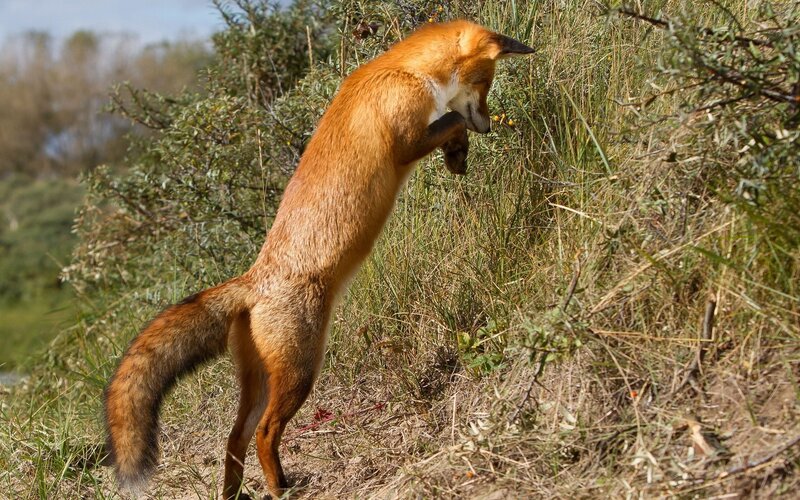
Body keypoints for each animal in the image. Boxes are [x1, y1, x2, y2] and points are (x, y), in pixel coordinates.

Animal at [104, 20, 534, 499]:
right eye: (486, 83)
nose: (490, 127)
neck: (403, 71)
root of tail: (253, 280)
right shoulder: (405, 142)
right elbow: (452, 119)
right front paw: (459, 146)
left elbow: (452, 124)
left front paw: (457, 156)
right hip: (300, 372)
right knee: (264, 433)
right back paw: (279, 487)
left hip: (261, 382)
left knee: (233, 438)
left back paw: (236, 492)